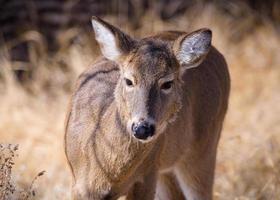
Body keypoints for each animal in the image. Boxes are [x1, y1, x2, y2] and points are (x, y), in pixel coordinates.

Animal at [65, 16, 230, 200]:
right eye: (129, 80)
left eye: (167, 83)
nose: (142, 128)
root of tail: (217, 53)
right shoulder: (77, 185)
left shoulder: (147, 176)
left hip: (203, 148)